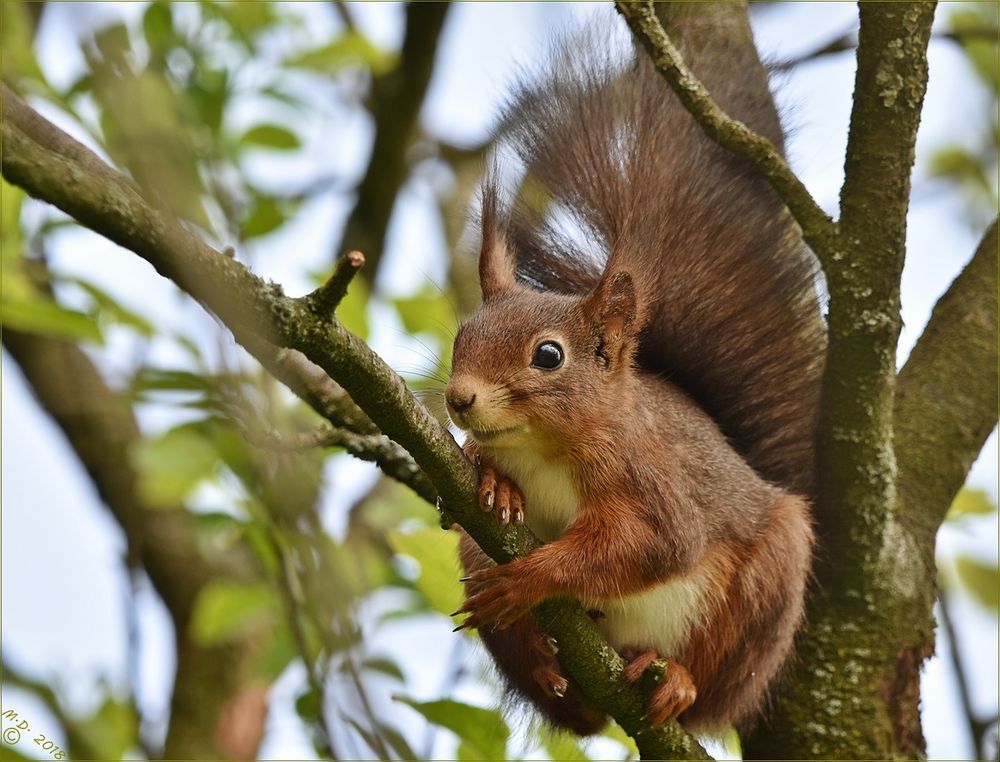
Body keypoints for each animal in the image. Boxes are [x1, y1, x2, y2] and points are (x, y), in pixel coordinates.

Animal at [446, 20, 828, 732]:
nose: (458, 400)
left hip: (765, 593)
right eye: (462, 335)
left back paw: (676, 682)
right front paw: (493, 480)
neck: (543, 448)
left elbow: (650, 546)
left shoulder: (651, 479)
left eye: (548, 356)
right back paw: (545, 660)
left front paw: (533, 576)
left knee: (709, 684)